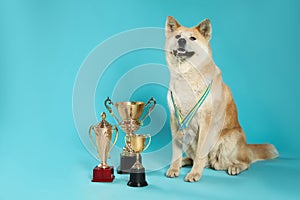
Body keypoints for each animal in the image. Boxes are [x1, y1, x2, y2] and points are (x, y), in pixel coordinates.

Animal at [165, 15, 278, 182]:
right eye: (178, 36)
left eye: (192, 38)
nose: (181, 41)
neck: (187, 76)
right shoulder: (175, 120)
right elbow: (176, 151)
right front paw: (174, 168)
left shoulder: (206, 121)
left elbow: (200, 153)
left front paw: (194, 173)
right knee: (200, 159)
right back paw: (184, 161)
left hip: (228, 140)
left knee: (244, 161)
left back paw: (235, 167)